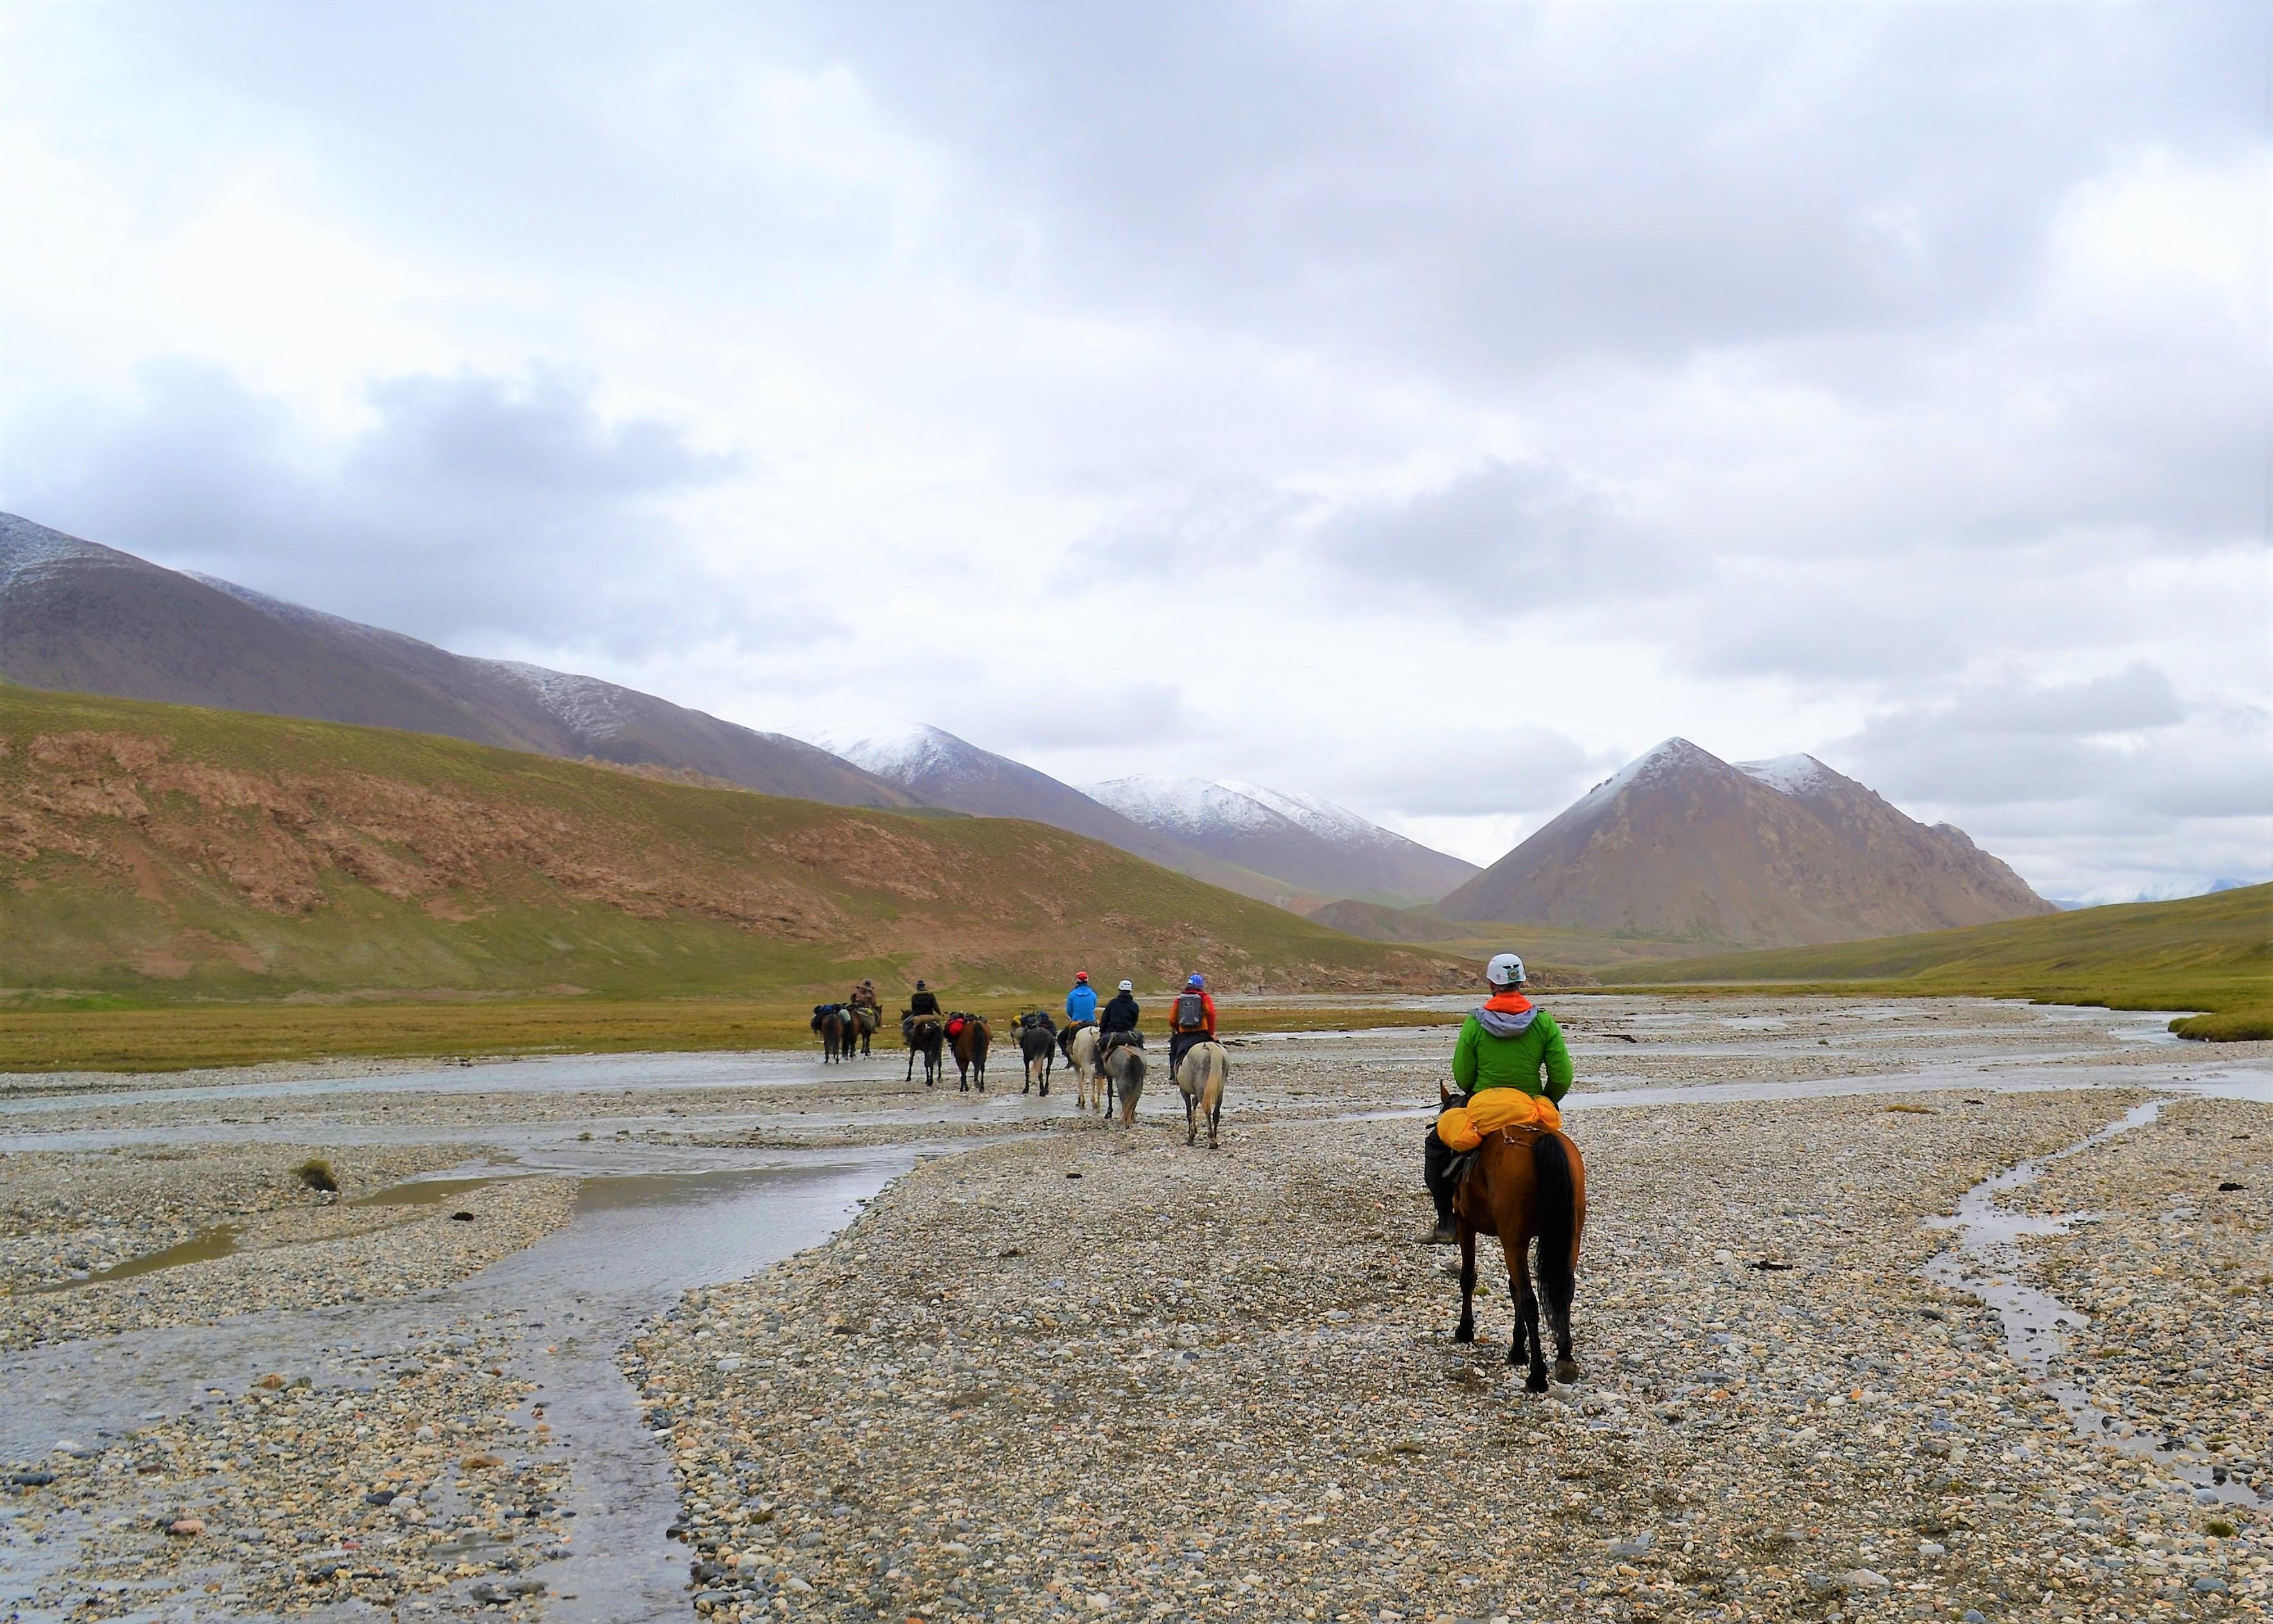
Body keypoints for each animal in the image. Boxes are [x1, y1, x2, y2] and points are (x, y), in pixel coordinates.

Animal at [945, 1005, 991, 1096]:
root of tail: (976, 1025)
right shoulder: (965, 1059)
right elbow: (964, 1071)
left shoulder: (960, 1059)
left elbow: (963, 1072)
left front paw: (964, 1088)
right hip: (984, 1052)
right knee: (982, 1067)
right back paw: (982, 1087)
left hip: (972, 1053)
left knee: (976, 1065)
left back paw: (977, 1082)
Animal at [1172, 1042, 1227, 1146]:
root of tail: (1209, 1046)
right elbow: (1194, 1104)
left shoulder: (1184, 1091)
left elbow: (1189, 1112)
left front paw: (1191, 1136)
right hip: (1219, 1091)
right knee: (1216, 1113)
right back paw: (1214, 1137)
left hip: (1202, 1091)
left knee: (1208, 1111)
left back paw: (1212, 1141)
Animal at [1445, 1101, 1591, 1392]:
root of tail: (1540, 1139)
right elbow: (1513, 1288)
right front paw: (1517, 1348)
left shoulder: (1466, 1224)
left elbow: (1468, 1278)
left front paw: (1465, 1330)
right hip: (1569, 1237)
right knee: (1564, 1290)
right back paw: (1565, 1358)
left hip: (1513, 1240)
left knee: (1529, 1301)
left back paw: (1537, 1375)